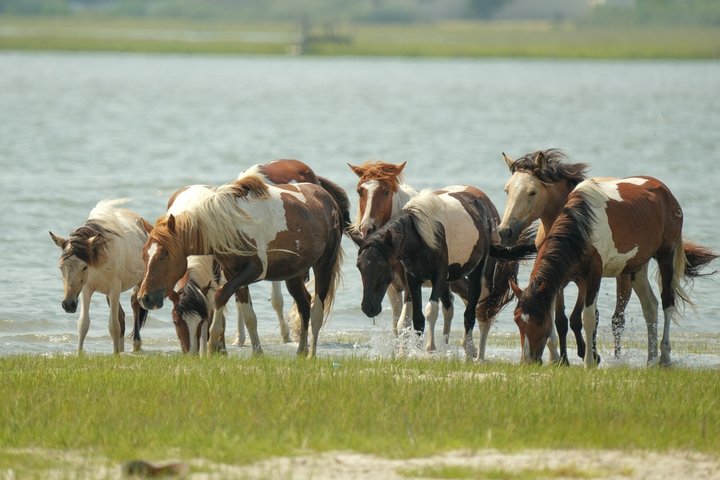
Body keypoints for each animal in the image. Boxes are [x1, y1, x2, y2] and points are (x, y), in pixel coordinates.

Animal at [49, 199, 151, 354]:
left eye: (84, 266)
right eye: (60, 267)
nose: (68, 305)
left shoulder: (114, 289)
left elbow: (113, 326)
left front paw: (115, 356)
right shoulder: (86, 290)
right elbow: (83, 324)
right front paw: (79, 355)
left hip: (138, 283)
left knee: (135, 305)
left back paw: (136, 344)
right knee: (121, 317)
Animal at [137, 173, 345, 358]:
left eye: (164, 254)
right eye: (144, 254)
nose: (144, 298)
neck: (229, 225)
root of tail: (325, 196)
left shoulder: (253, 271)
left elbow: (220, 295)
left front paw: (212, 346)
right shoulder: (233, 274)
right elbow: (248, 315)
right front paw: (257, 353)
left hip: (324, 266)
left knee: (317, 311)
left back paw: (311, 355)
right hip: (293, 273)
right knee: (304, 304)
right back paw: (301, 351)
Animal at [356, 187, 534, 359]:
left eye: (382, 265)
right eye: (359, 266)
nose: (368, 307)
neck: (420, 234)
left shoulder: (439, 276)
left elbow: (431, 310)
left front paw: (430, 349)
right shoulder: (412, 279)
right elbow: (417, 318)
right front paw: (416, 352)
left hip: (479, 275)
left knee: (479, 312)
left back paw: (476, 354)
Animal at [509, 176, 717, 367]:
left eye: (539, 322)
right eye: (517, 320)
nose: (527, 361)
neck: (583, 226)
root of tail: (665, 191)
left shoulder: (593, 275)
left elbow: (588, 317)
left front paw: (589, 362)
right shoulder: (561, 280)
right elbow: (559, 317)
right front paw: (558, 359)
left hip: (666, 255)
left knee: (667, 301)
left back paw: (664, 356)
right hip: (636, 268)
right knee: (650, 306)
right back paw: (651, 359)